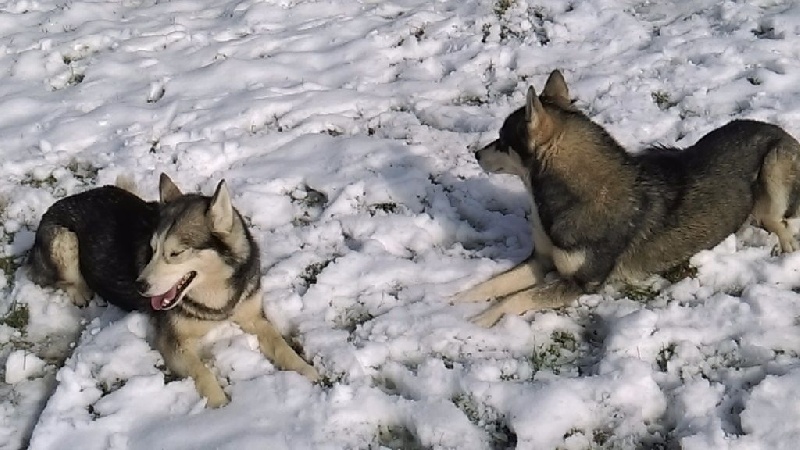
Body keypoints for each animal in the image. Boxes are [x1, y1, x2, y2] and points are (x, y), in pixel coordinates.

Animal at [28, 175, 322, 408]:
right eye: (152, 249)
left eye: (176, 253)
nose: (140, 285)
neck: (218, 302)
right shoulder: (172, 342)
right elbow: (201, 371)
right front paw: (220, 405)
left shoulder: (253, 316)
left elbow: (280, 344)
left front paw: (305, 369)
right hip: (63, 239)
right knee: (65, 279)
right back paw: (81, 293)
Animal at [454, 68, 800, 326]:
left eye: (501, 140)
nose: (476, 154)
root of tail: (778, 129)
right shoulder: (540, 260)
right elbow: (494, 284)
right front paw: (452, 302)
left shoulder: (581, 283)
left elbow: (515, 299)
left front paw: (477, 321)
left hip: (774, 166)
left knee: (778, 221)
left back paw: (785, 248)